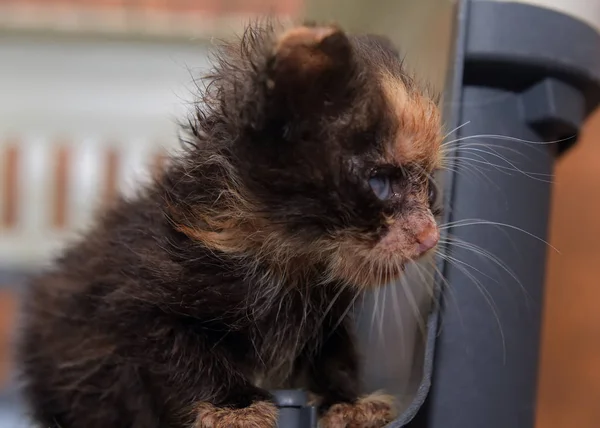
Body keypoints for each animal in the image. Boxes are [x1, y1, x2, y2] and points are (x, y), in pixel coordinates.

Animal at [16, 20, 442, 428]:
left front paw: (347, 402)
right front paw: (235, 407)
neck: (294, 261)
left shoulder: (327, 316)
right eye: (380, 182)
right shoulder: (138, 299)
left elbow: (335, 354)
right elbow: (182, 352)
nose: (430, 237)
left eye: (432, 190)